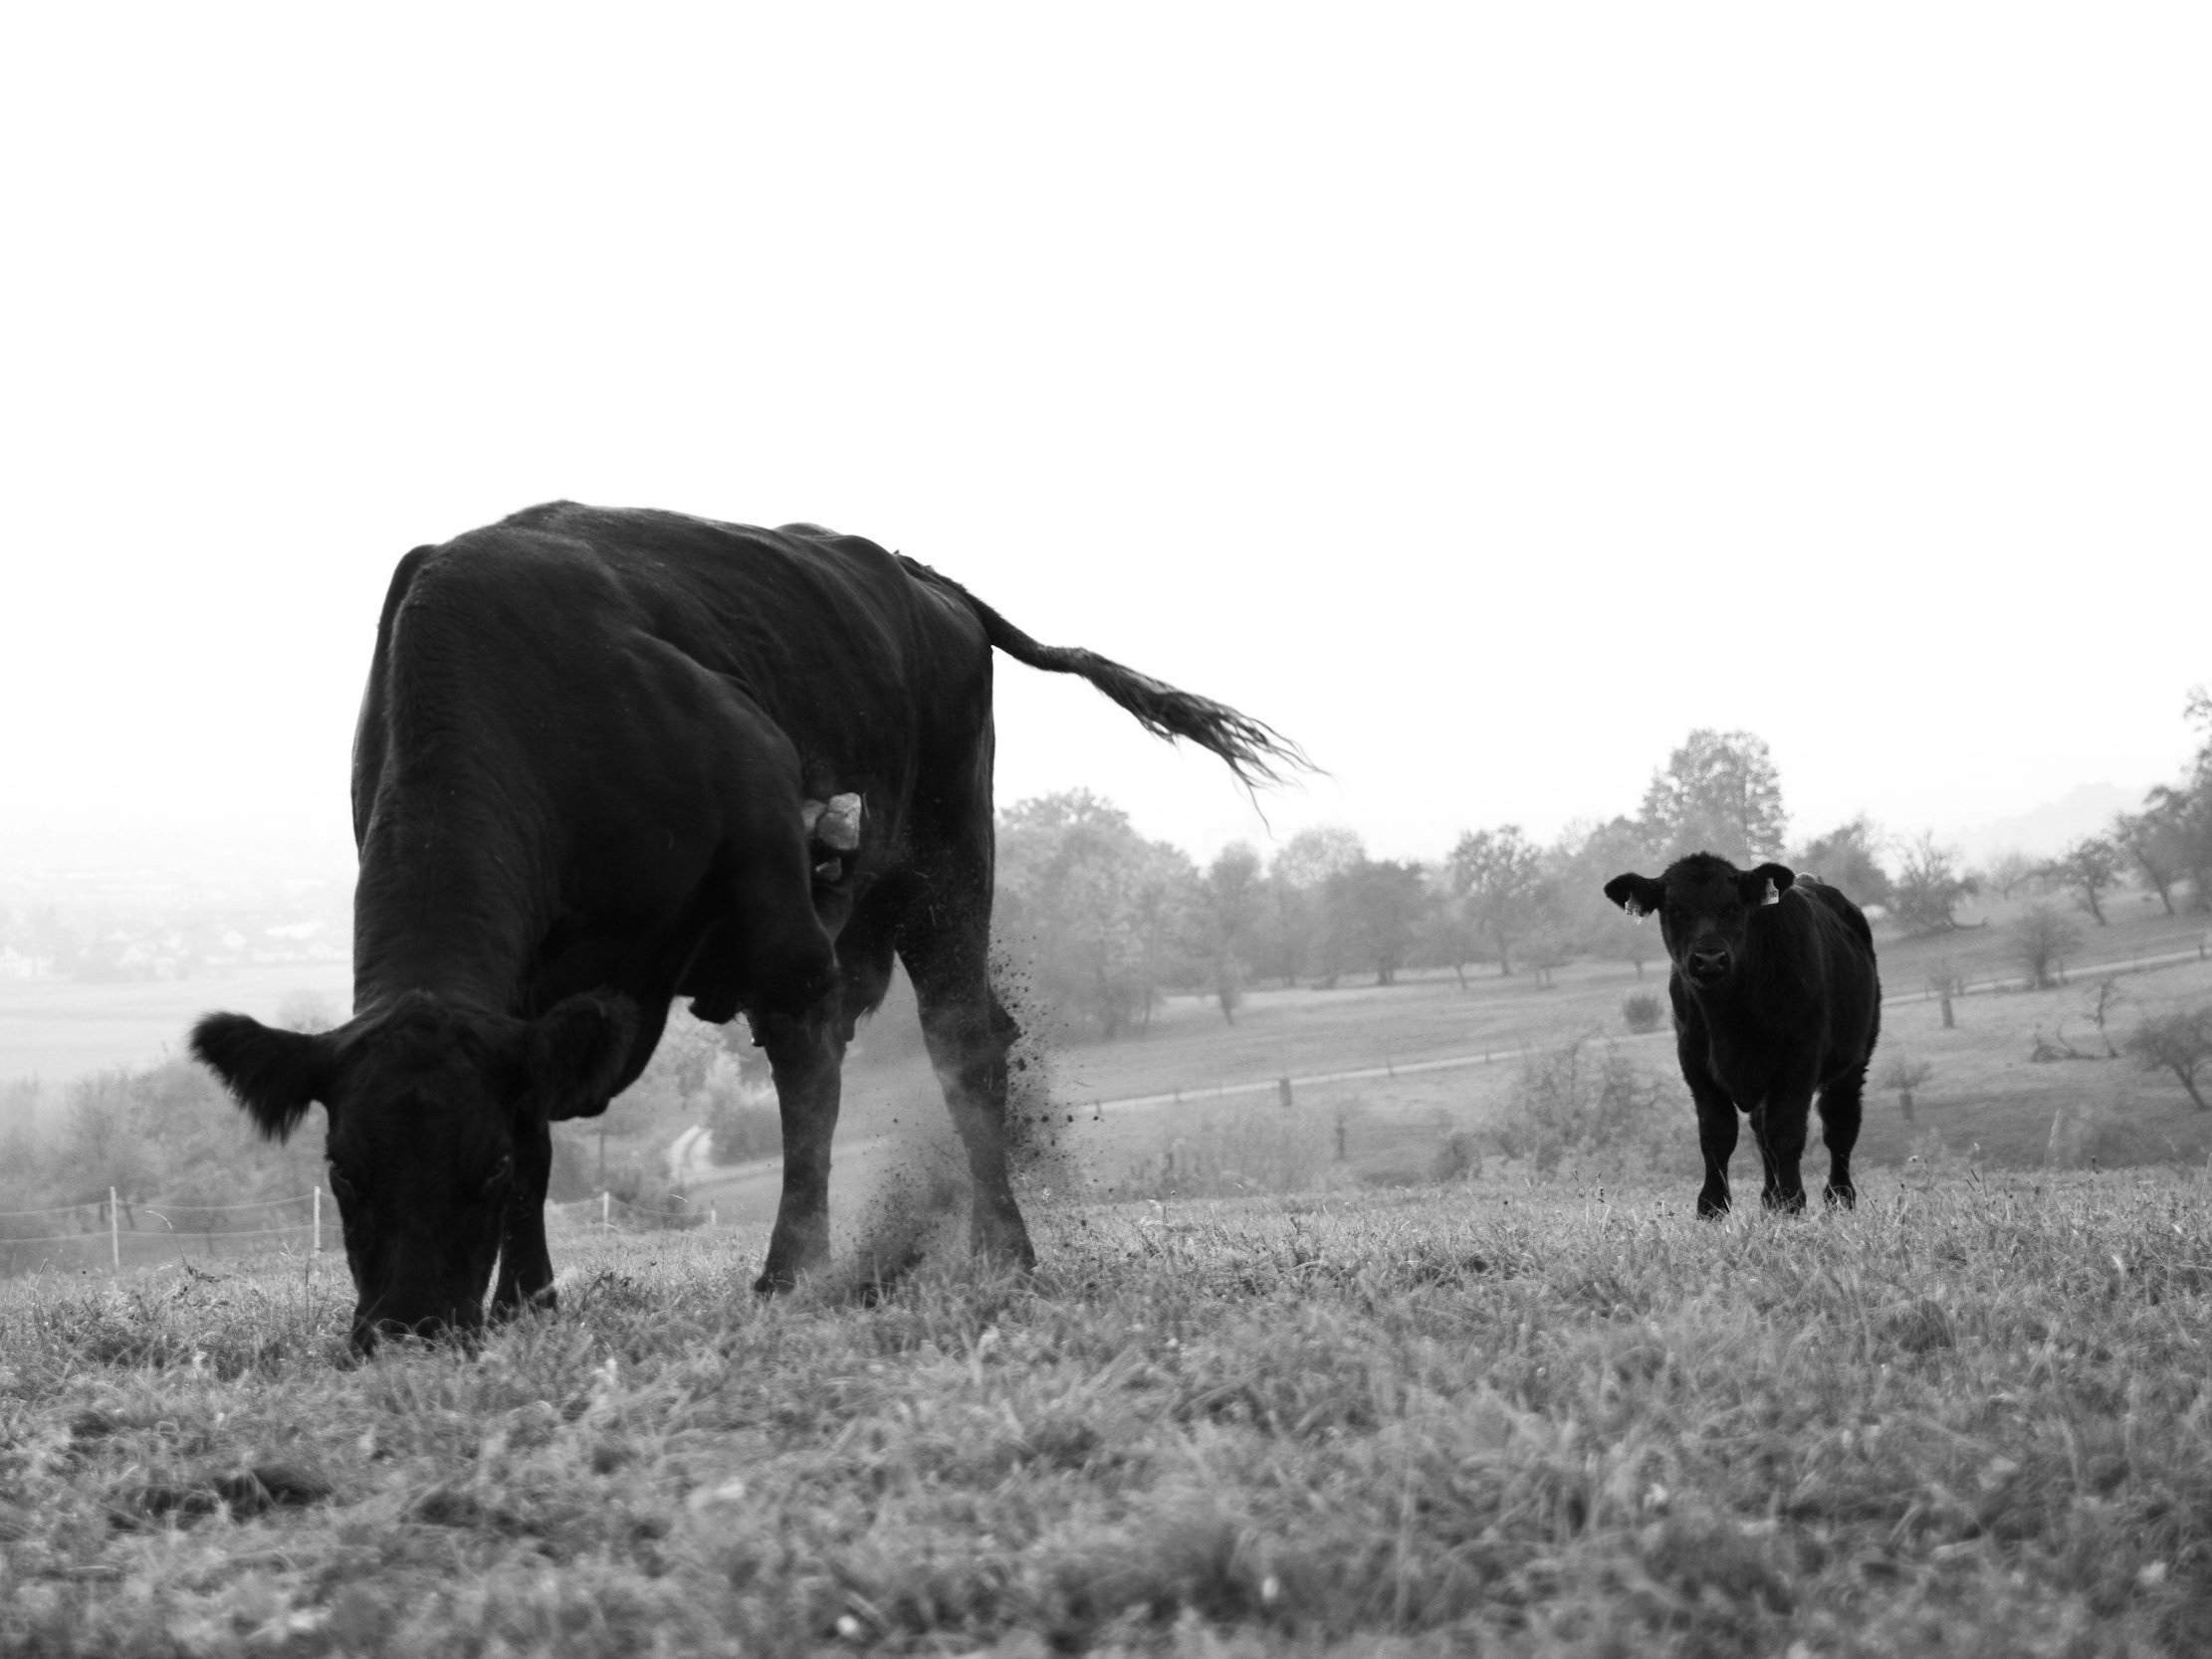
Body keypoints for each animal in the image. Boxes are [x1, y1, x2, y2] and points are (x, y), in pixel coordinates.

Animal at [190, 502, 1302, 1351]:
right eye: (342, 1170)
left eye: (482, 1169)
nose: (410, 1327)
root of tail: (922, 579)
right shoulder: (537, 997)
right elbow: (546, 1124)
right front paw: (528, 1299)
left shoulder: (776, 913)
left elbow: (801, 1087)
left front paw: (790, 1271)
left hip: (947, 856)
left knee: (961, 1041)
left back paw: (1000, 1250)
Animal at [1601, 854, 1880, 1217]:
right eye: (1673, 908)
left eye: (1733, 906)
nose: (1709, 959)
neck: (1730, 1017)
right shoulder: (1693, 1060)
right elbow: (1717, 1135)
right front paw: (1712, 1206)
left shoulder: (1800, 1057)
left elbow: (1786, 1132)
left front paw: (1792, 1201)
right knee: (1761, 1133)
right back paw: (1770, 1199)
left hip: (1856, 1057)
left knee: (1840, 1124)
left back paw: (1839, 1197)